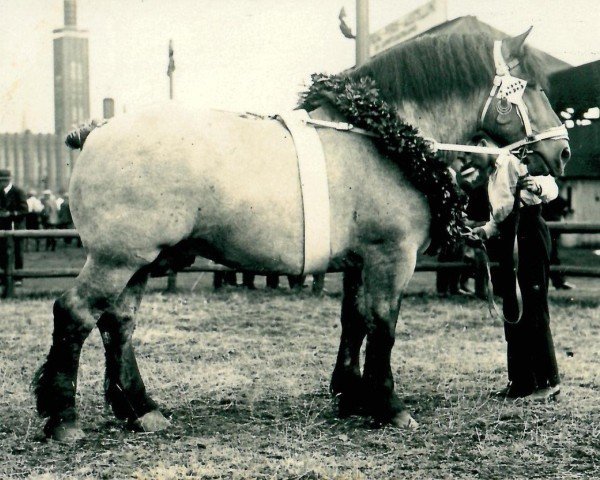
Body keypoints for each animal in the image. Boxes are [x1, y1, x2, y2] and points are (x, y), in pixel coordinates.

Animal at [35, 30, 568, 440]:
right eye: (531, 89)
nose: (562, 151)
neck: (383, 137)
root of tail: (99, 130)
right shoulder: (391, 257)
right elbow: (383, 324)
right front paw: (388, 405)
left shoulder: (359, 262)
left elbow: (354, 322)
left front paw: (351, 395)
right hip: (117, 259)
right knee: (75, 314)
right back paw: (62, 418)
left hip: (142, 261)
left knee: (118, 324)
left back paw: (140, 410)